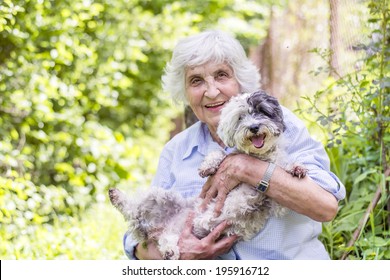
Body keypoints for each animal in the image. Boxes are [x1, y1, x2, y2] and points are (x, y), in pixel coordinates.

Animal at [108, 91, 306, 260]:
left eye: (262, 111)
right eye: (240, 117)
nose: (254, 127)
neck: (259, 157)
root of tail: (155, 226)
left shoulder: (274, 202)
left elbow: (282, 169)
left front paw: (296, 168)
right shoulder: (230, 157)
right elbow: (219, 154)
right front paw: (208, 167)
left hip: (167, 222)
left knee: (164, 236)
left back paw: (170, 250)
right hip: (161, 196)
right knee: (132, 209)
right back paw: (116, 195)